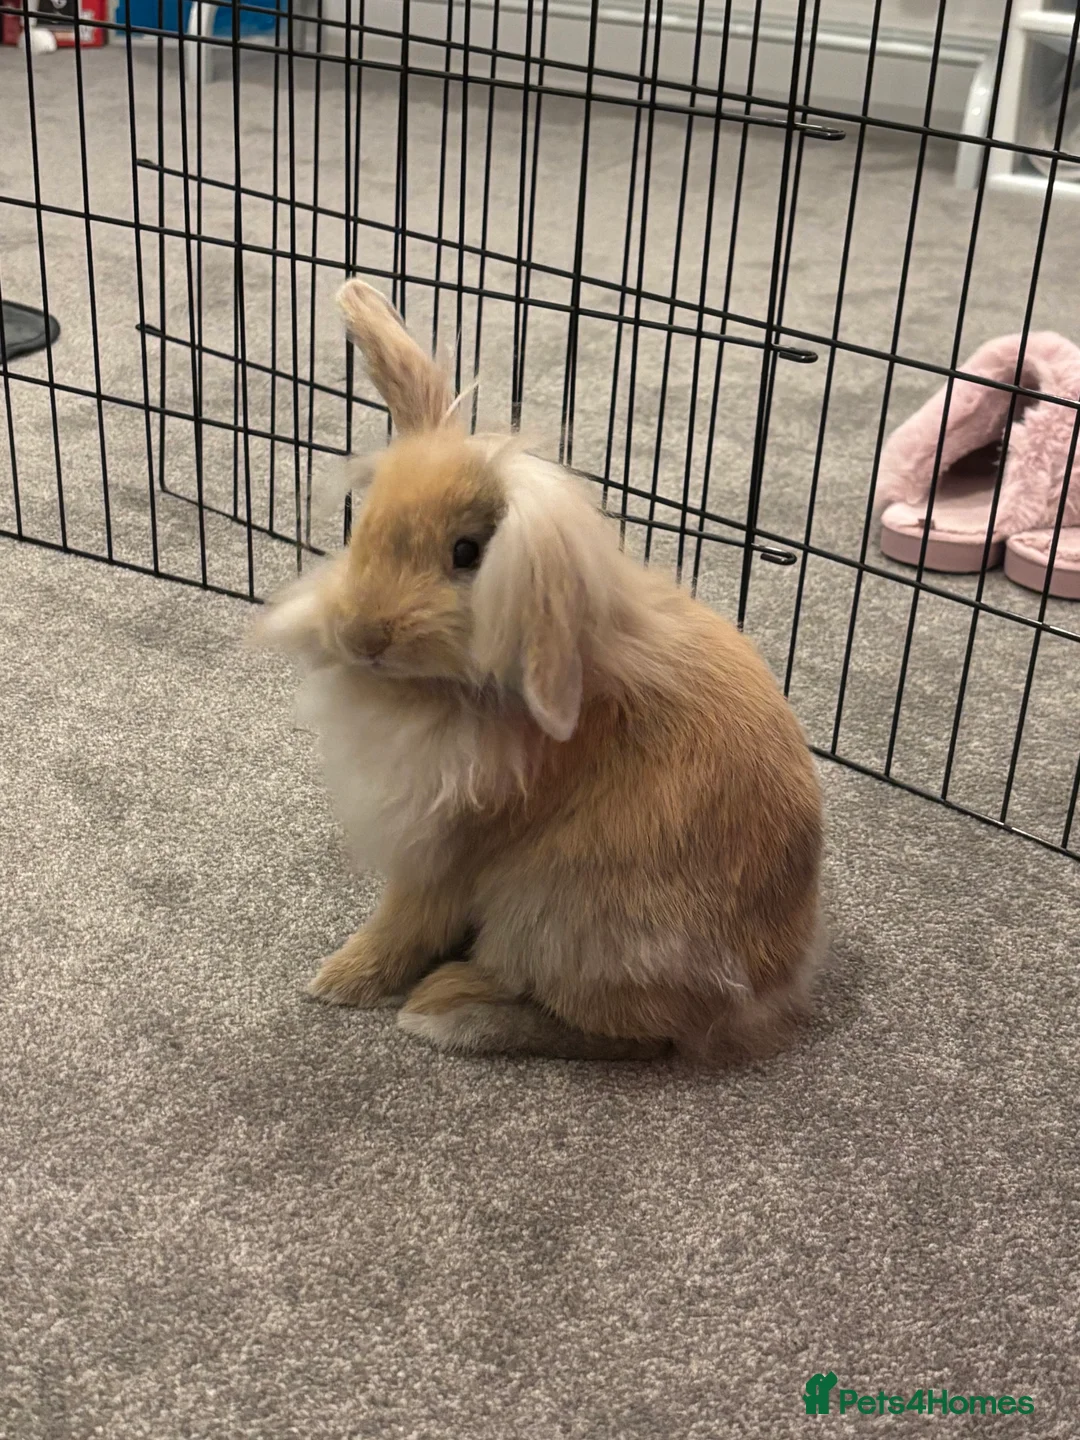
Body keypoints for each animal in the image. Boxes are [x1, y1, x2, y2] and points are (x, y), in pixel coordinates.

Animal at [254, 279, 825, 1062]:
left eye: (467, 553)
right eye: (363, 527)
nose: (362, 634)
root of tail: (768, 991)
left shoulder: (454, 847)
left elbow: (405, 922)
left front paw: (341, 981)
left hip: (570, 919)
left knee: (628, 1036)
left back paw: (452, 1008)